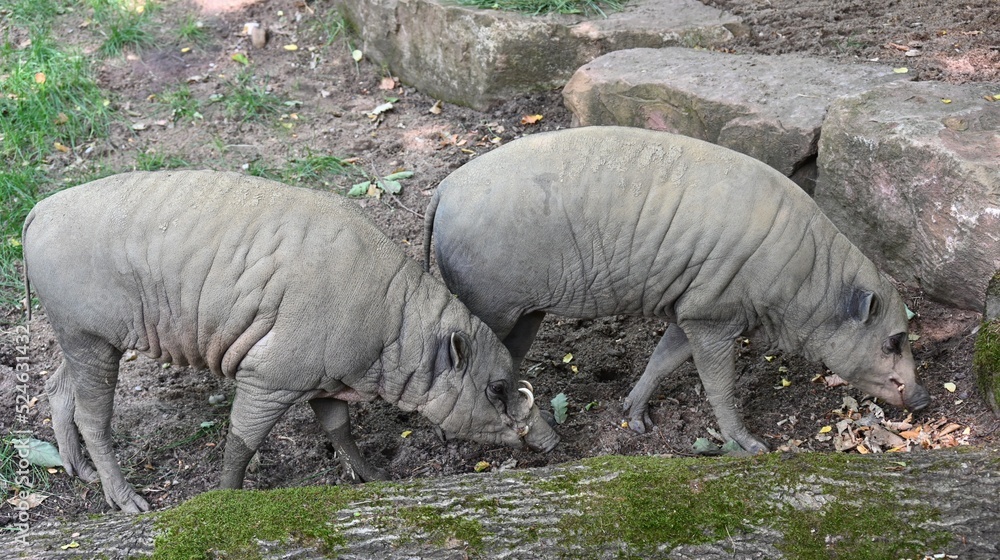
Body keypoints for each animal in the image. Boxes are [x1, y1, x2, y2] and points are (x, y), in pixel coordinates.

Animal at [22, 170, 559, 513]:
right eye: (496, 389)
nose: (554, 440)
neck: (395, 323)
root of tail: (36, 210)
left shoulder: (327, 380)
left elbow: (340, 431)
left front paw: (378, 480)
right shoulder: (269, 377)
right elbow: (240, 442)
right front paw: (227, 499)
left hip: (79, 338)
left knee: (56, 386)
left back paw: (78, 471)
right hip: (89, 336)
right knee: (93, 416)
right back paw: (126, 500)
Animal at [423, 126, 930, 453]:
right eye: (893, 340)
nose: (924, 398)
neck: (808, 283)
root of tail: (443, 188)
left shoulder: (691, 310)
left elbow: (663, 359)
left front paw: (636, 419)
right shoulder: (714, 316)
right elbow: (719, 384)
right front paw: (752, 446)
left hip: (526, 313)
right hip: (490, 304)